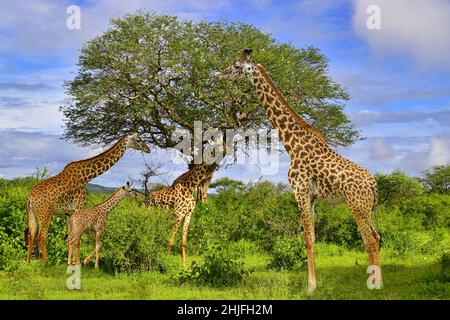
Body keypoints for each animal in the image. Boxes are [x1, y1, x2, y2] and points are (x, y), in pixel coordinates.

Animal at [25, 132, 149, 262]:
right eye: (139, 139)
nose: (148, 149)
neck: (87, 176)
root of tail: (30, 198)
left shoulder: (69, 213)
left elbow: (69, 238)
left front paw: (71, 262)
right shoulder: (79, 207)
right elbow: (76, 238)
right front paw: (76, 262)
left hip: (32, 213)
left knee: (30, 234)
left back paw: (29, 262)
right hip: (46, 213)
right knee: (41, 237)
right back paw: (46, 262)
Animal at [223, 48, 382, 294]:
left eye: (237, 66)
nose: (221, 73)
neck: (292, 144)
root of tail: (374, 186)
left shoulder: (300, 191)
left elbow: (307, 238)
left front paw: (310, 287)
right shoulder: (313, 197)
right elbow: (314, 237)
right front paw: (313, 284)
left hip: (357, 206)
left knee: (371, 239)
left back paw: (373, 286)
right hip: (365, 207)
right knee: (376, 236)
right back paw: (379, 282)